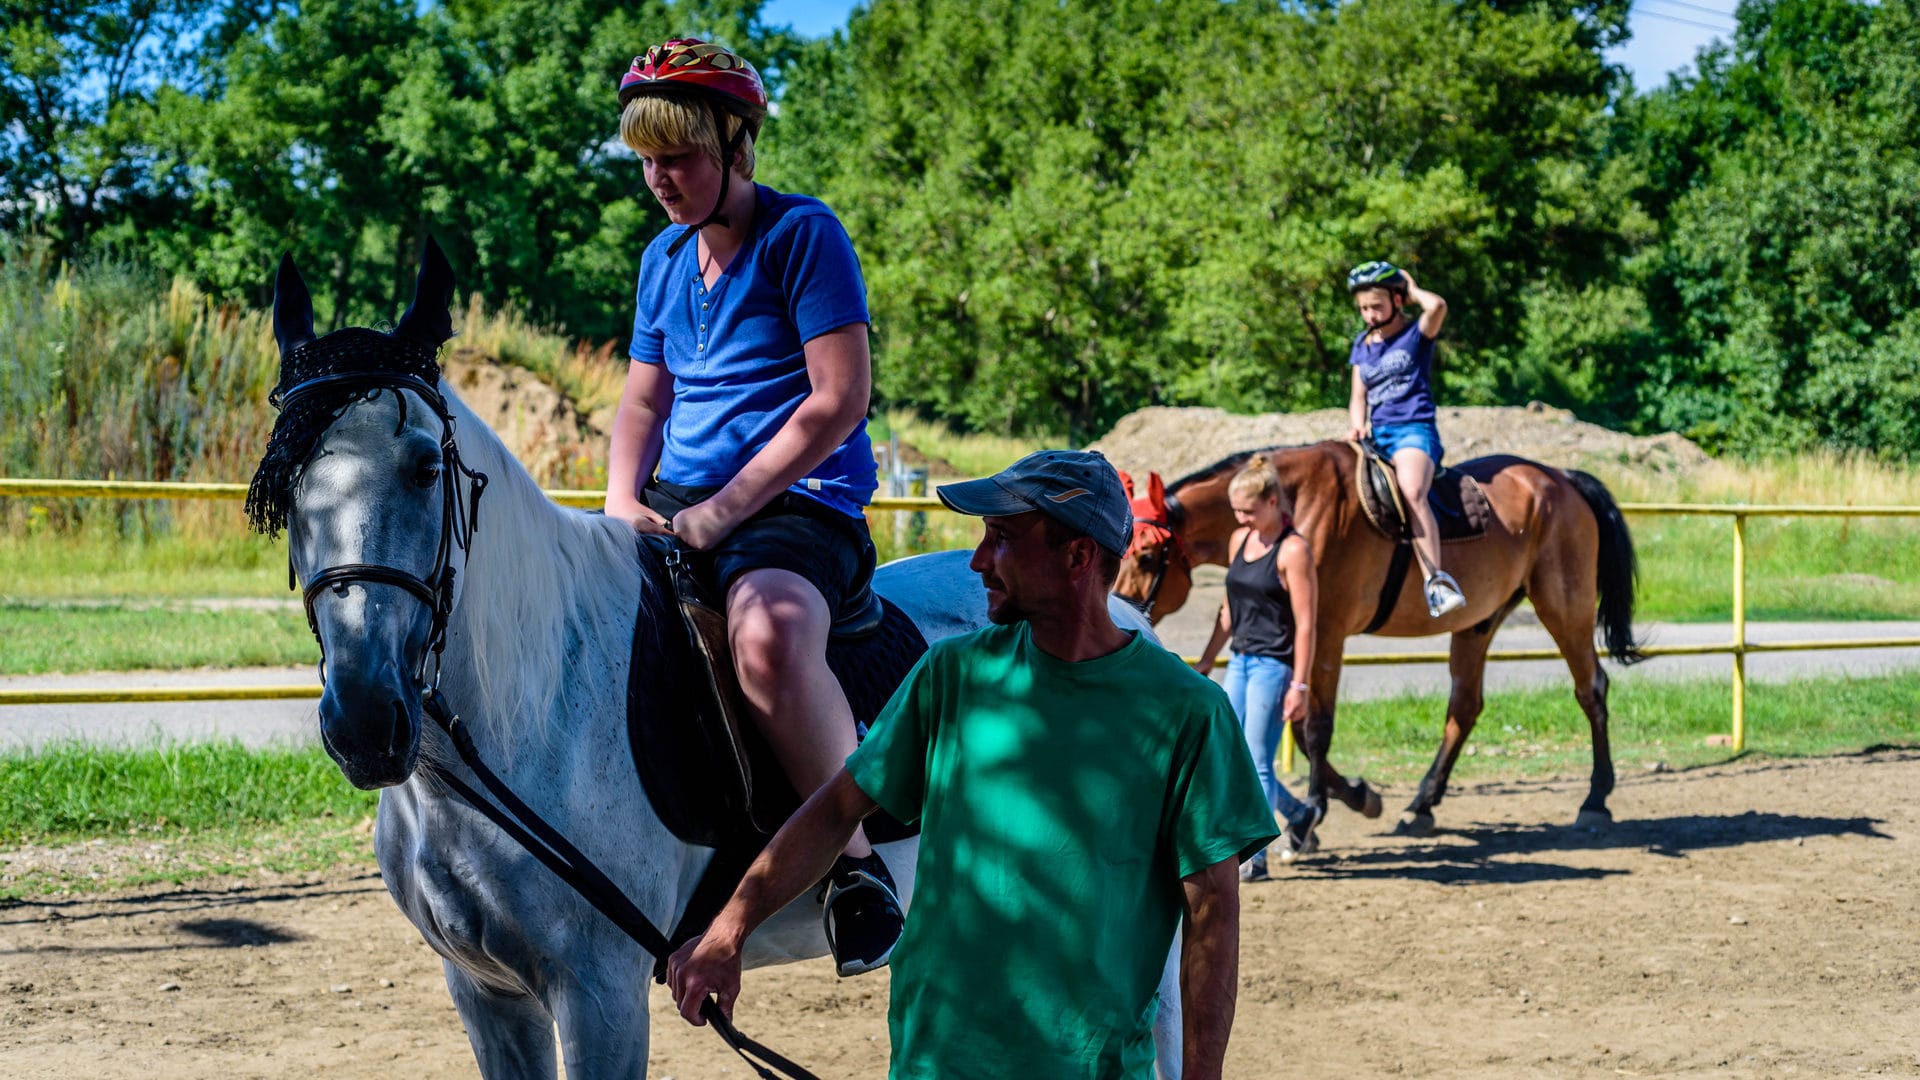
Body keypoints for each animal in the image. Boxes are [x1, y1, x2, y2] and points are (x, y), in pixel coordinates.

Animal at [246, 240, 1186, 1078]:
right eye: (284, 486)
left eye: (423, 467)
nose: (365, 721)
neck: (529, 711)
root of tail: (1122, 617)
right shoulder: (486, 994)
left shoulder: (601, 996)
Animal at [1113, 443, 1642, 835]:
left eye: (1146, 556)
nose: (1118, 611)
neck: (1299, 507)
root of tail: (1562, 478)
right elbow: (1303, 733)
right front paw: (1355, 796)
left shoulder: (1325, 633)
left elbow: (1314, 728)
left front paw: (1316, 812)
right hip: (1479, 622)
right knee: (1464, 707)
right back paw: (1422, 803)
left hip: (1565, 607)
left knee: (1591, 689)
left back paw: (1596, 798)